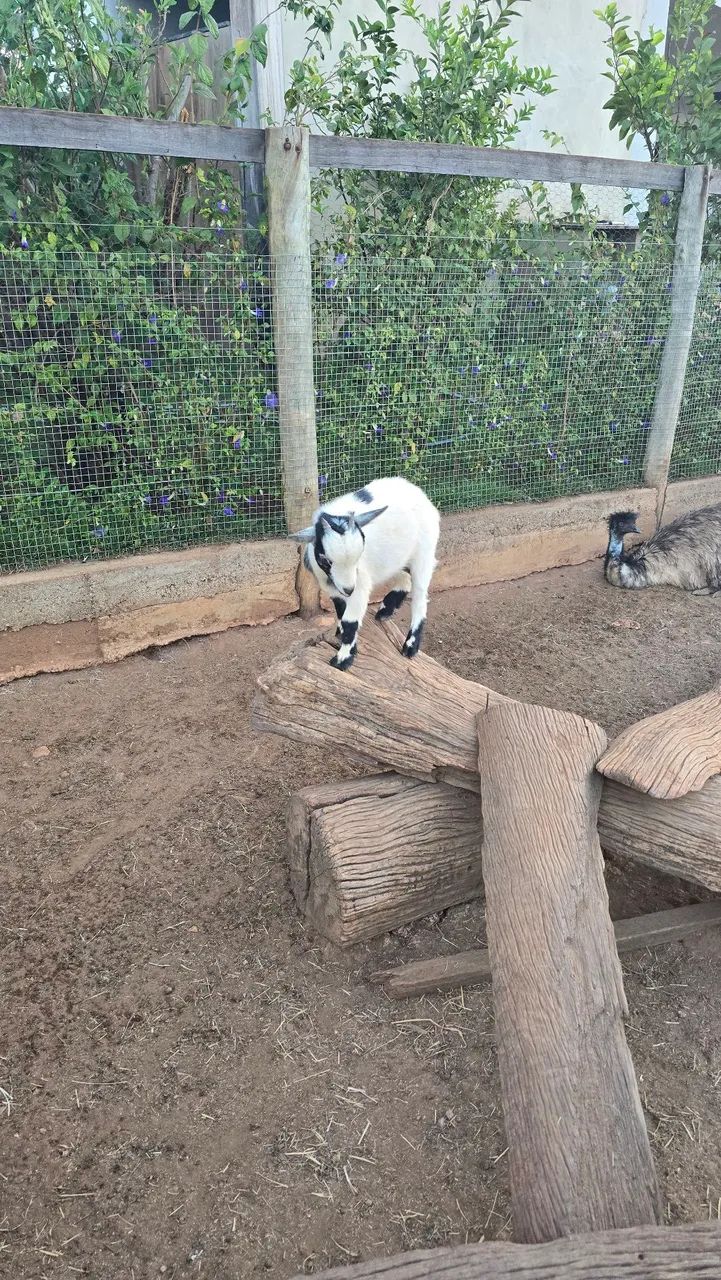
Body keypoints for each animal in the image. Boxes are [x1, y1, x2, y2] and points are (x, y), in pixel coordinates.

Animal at [290, 476, 440, 671]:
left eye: (359, 555)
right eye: (325, 559)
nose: (348, 589)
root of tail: (418, 492)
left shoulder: (359, 585)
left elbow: (350, 622)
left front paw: (343, 660)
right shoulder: (333, 588)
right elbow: (341, 613)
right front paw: (344, 641)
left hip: (424, 550)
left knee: (420, 596)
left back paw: (410, 646)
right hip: (395, 557)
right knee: (404, 577)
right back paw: (386, 610)